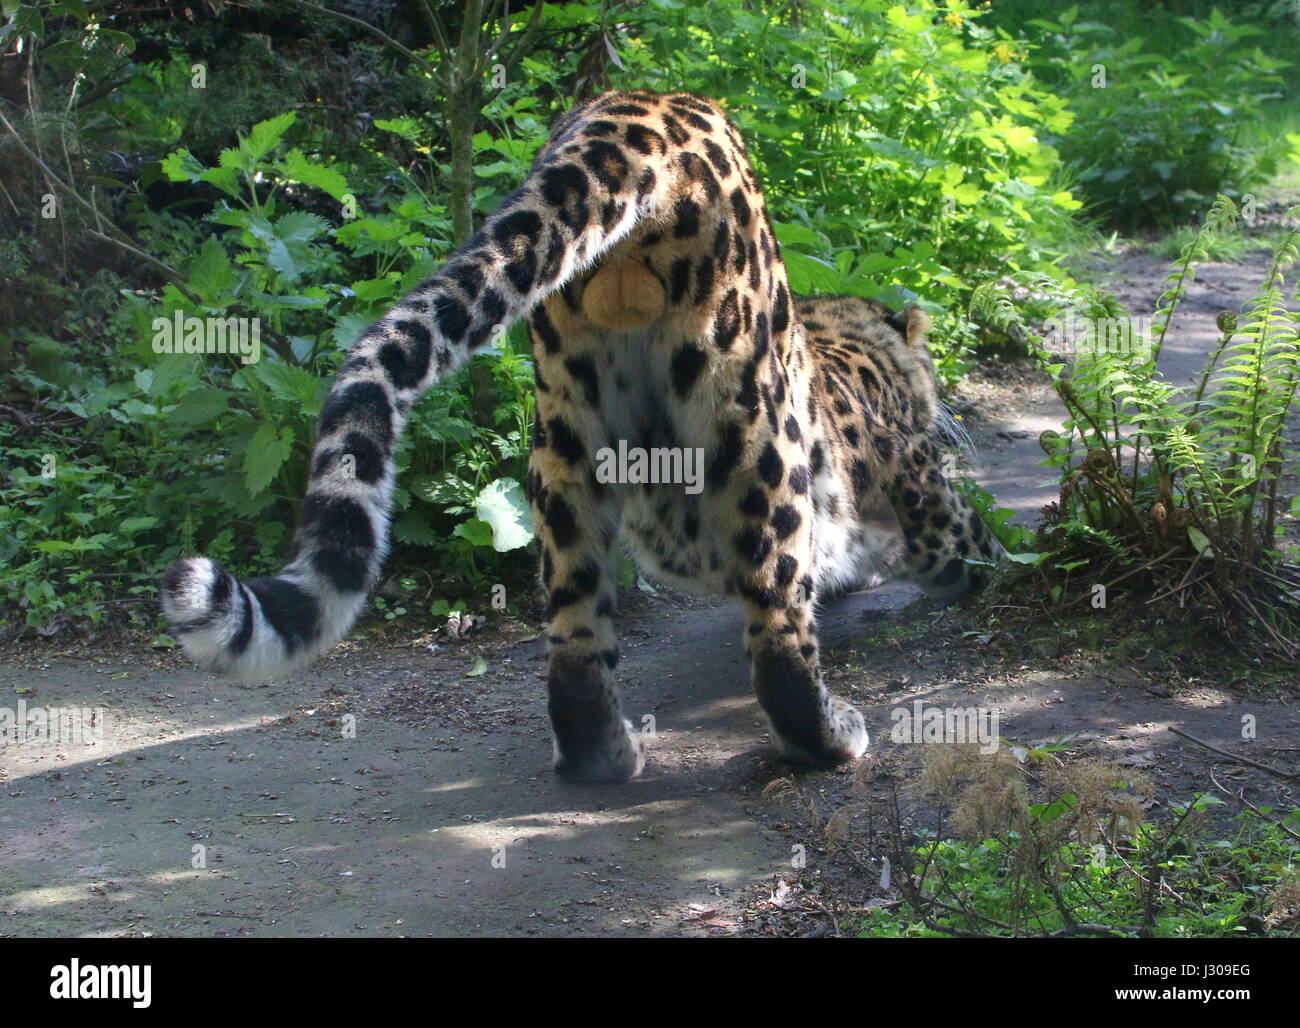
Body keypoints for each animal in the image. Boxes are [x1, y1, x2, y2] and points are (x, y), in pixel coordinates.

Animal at [159, 90, 1003, 779]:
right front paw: (1005, 570)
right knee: (776, 621)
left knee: (572, 623)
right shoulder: (923, 497)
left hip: (564, 425)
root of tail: (637, 117)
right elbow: (968, 541)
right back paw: (827, 737)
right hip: (753, 417)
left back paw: (601, 751)